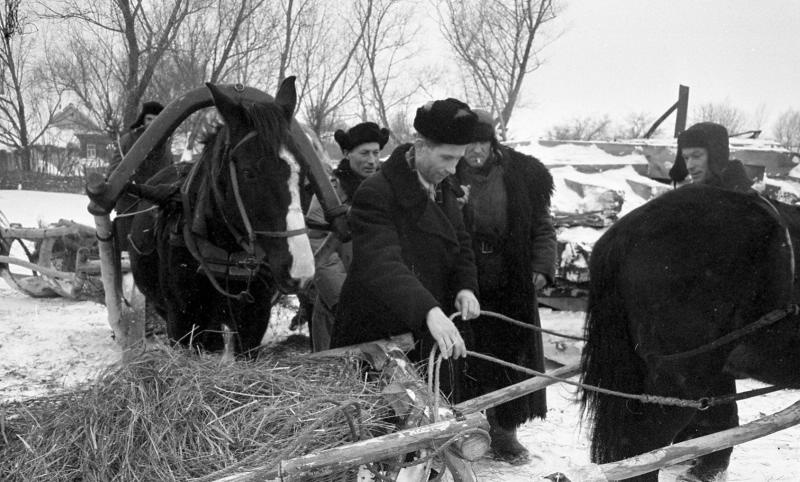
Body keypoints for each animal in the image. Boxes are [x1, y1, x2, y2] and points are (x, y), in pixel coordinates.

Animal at [126, 78, 314, 358]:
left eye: (304, 173)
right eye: (248, 173)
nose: (300, 269)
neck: (225, 253)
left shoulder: (254, 319)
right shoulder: (182, 320)